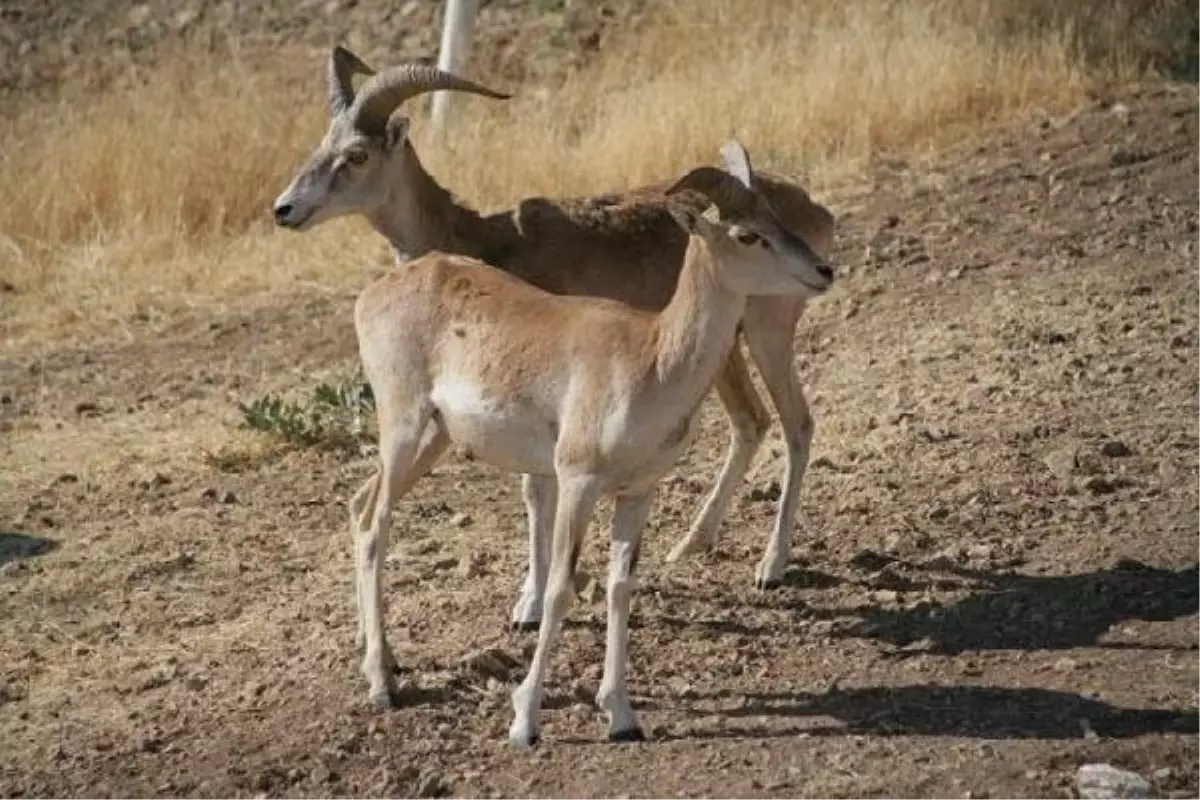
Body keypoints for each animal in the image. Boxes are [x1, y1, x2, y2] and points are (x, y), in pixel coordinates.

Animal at [348, 139, 835, 743]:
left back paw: (385, 662)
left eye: (775, 216)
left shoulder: (636, 493)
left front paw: (622, 716)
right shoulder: (577, 483)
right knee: (374, 526)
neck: (650, 357)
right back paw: (381, 685)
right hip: (405, 431)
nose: (823, 269)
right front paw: (525, 721)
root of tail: (377, 294)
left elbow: (620, 587)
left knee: (359, 506)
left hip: (430, 441)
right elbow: (558, 588)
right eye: (748, 233)